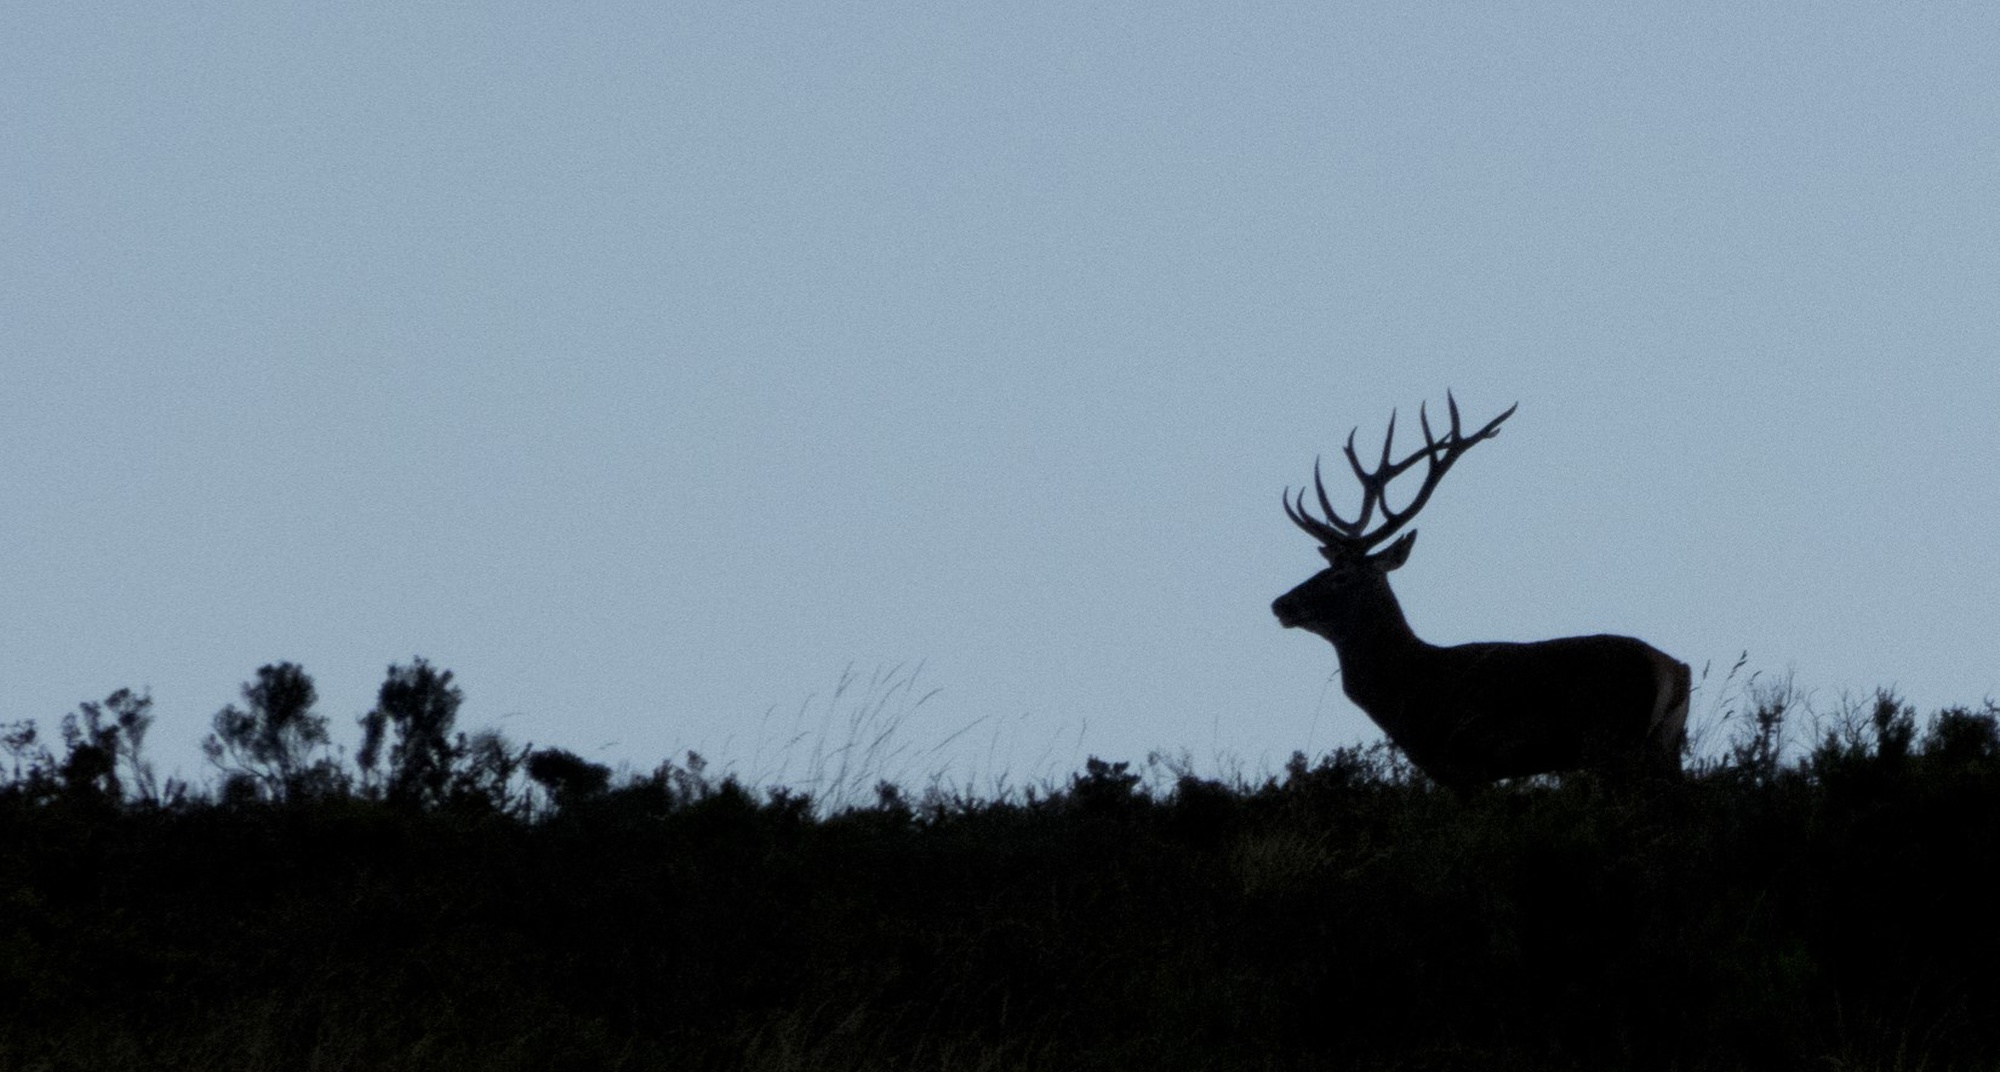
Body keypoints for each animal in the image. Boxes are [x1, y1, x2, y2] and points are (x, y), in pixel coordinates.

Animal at [1272, 393, 1689, 790]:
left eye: (1341, 576)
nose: (1280, 604)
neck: (1408, 687)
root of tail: (1676, 669)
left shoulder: (1462, 763)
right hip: (1662, 747)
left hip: (1614, 741)